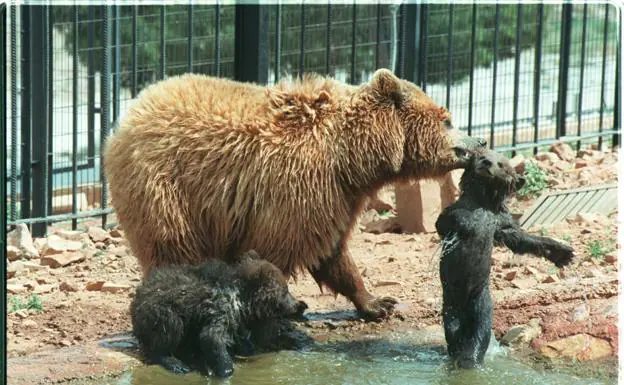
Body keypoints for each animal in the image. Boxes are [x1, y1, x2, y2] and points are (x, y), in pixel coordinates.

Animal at [103, 67, 488, 320]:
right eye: (447, 118)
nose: (480, 141)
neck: (352, 157)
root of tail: (127, 116)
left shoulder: (337, 197)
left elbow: (333, 253)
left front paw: (377, 302)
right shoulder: (297, 185)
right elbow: (280, 248)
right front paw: (281, 306)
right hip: (166, 188)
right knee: (174, 247)